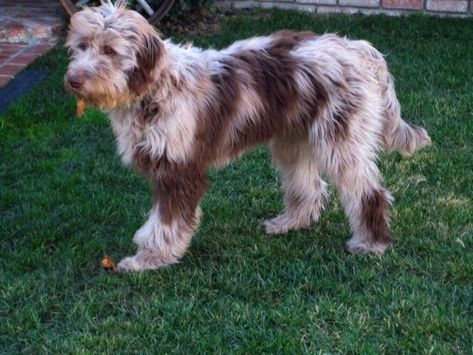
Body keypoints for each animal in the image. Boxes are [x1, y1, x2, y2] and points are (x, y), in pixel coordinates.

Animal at [64, 0, 430, 272]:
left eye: (110, 51)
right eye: (81, 46)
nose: (74, 80)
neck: (155, 87)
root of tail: (359, 48)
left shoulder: (178, 168)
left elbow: (165, 223)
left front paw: (149, 259)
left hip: (341, 139)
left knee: (369, 192)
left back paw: (371, 243)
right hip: (292, 138)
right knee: (308, 186)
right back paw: (289, 223)